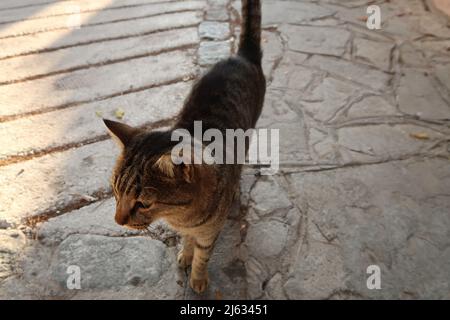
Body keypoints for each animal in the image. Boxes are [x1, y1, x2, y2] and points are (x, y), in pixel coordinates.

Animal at [103, 0, 266, 294]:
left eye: (143, 203)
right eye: (115, 192)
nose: (117, 220)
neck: (180, 216)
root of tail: (240, 56)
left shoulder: (209, 233)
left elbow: (203, 255)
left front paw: (198, 278)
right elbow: (188, 242)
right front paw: (185, 254)